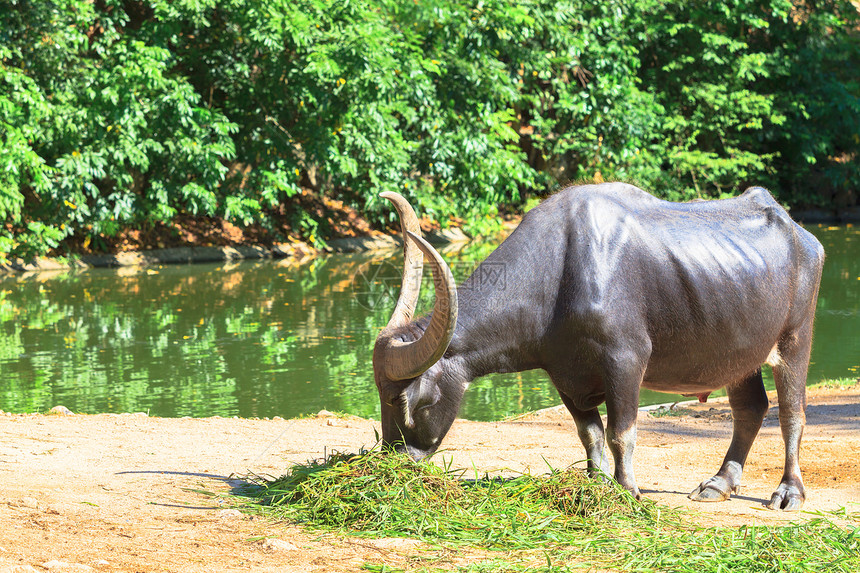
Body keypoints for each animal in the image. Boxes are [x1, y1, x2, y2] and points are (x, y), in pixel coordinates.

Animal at [372, 183, 828, 510]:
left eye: (403, 401)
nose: (393, 460)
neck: (558, 273)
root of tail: (802, 234)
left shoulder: (625, 360)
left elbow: (620, 433)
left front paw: (627, 492)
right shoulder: (565, 374)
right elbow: (588, 433)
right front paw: (596, 484)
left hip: (795, 338)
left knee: (792, 413)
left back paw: (789, 492)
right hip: (738, 356)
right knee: (750, 408)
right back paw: (719, 484)